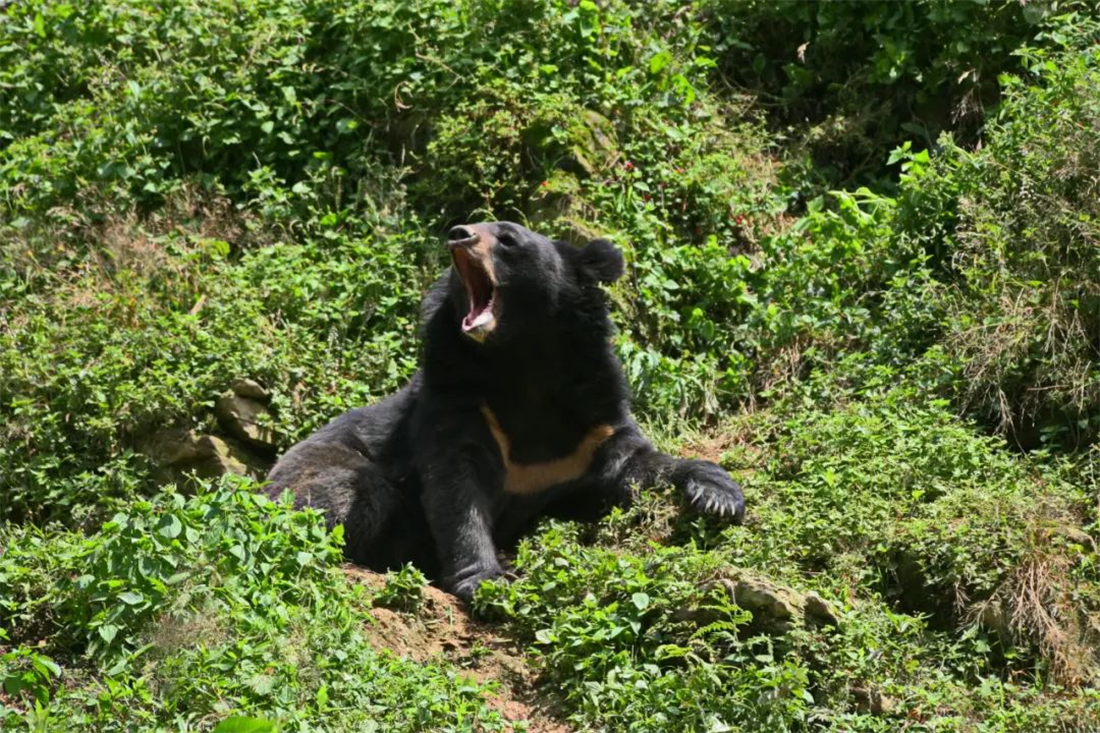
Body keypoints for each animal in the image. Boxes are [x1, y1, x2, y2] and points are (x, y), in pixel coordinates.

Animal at [267, 221, 745, 601]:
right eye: (471, 228)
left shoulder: (591, 425)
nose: (458, 234)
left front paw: (718, 496)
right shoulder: (461, 406)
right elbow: (456, 492)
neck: (519, 359)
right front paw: (488, 579)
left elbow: (635, 465)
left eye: (509, 239)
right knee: (351, 496)